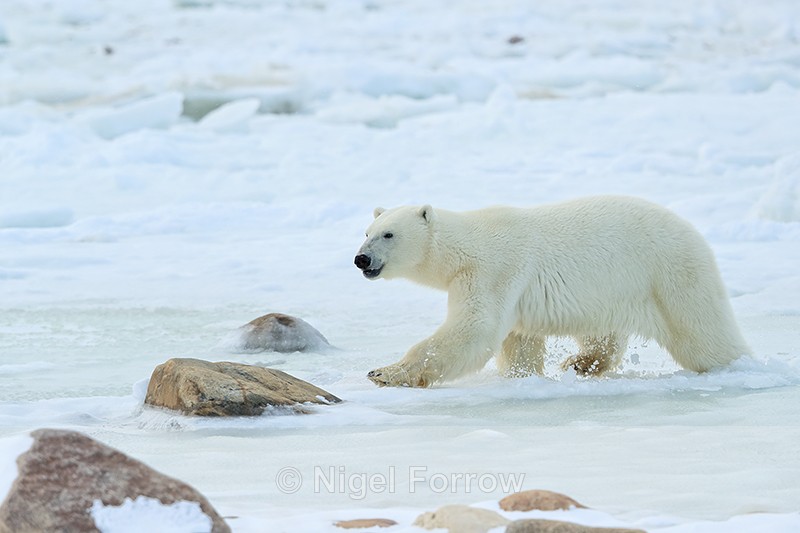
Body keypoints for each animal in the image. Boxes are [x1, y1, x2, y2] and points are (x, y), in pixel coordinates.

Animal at [354, 196, 751, 388]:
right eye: (367, 231)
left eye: (388, 234)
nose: (361, 259)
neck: (467, 245)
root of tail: (693, 232)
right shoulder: (509, 289)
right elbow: (518, 341)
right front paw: (521, 376)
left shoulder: (494, 271)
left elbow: (473, 330)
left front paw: (384, 372)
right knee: (604, 335)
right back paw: (580, 362)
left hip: (670, 274)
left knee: (703, 333)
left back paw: (740, 366)